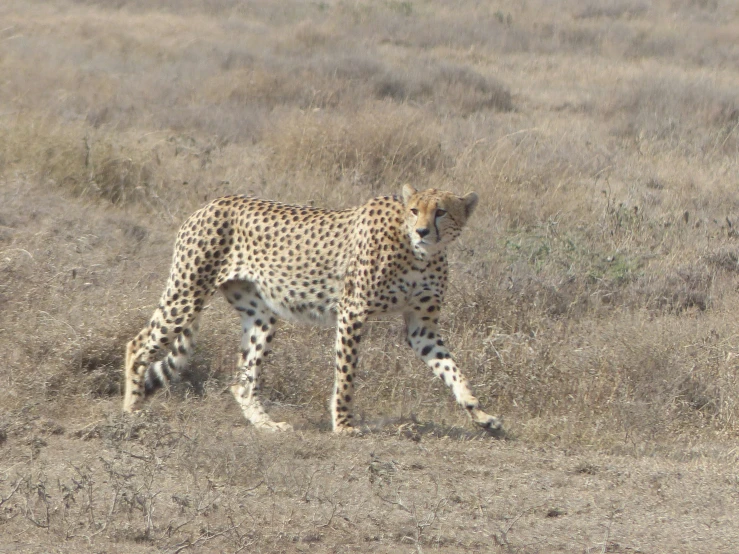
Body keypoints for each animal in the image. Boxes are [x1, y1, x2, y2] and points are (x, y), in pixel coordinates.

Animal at [124, 183, 502, 434]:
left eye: (441, 211)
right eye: (414, 211)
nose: (423, 230)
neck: (420, 253)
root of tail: (211, 202)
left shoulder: (422, 327)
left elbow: (452, 370)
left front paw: (480, 413)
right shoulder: (353, 312)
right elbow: (346, 374)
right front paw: (344, 424)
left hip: (261, 316)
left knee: (243, 380)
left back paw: (267, 425)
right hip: (187, 294)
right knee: (137, 344)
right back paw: (132, 409)